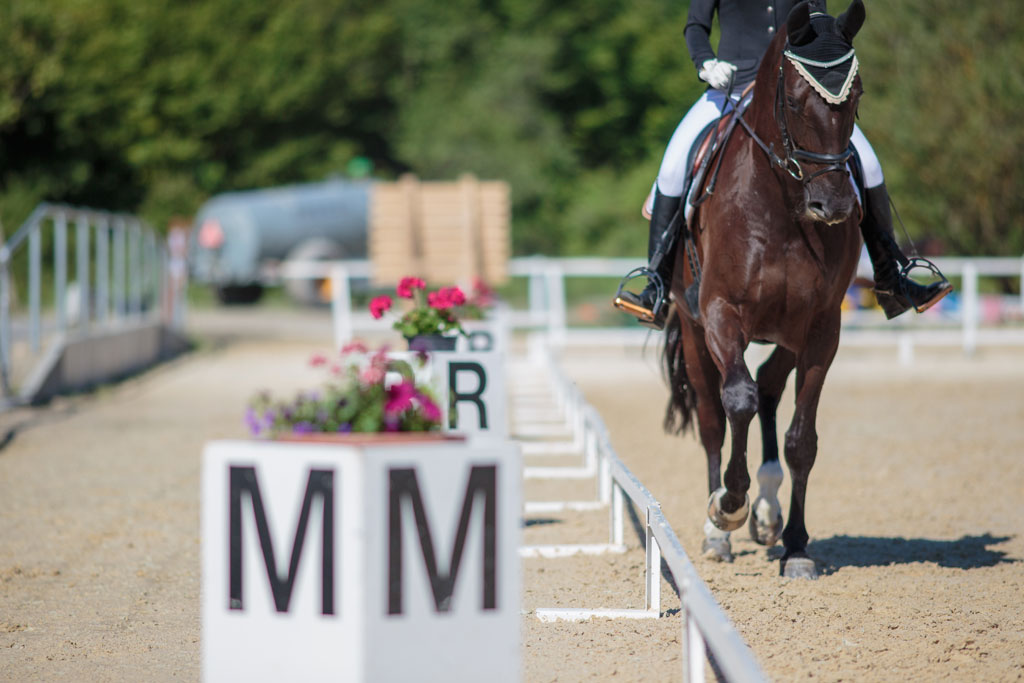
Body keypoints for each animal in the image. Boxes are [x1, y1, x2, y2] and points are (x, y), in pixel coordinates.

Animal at [663, 0, 864, 581]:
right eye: (794, 100)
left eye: (857, 96)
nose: (833, 206)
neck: (782, 207)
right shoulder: (719, 313)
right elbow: (738, 399)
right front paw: (729, 504)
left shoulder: (822, 327)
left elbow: (802, 440)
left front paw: (797, 547)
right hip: (693, 331)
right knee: (715, 417)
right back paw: (719, 529)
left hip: (787, 334)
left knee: (773, 388)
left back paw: (770, 513)